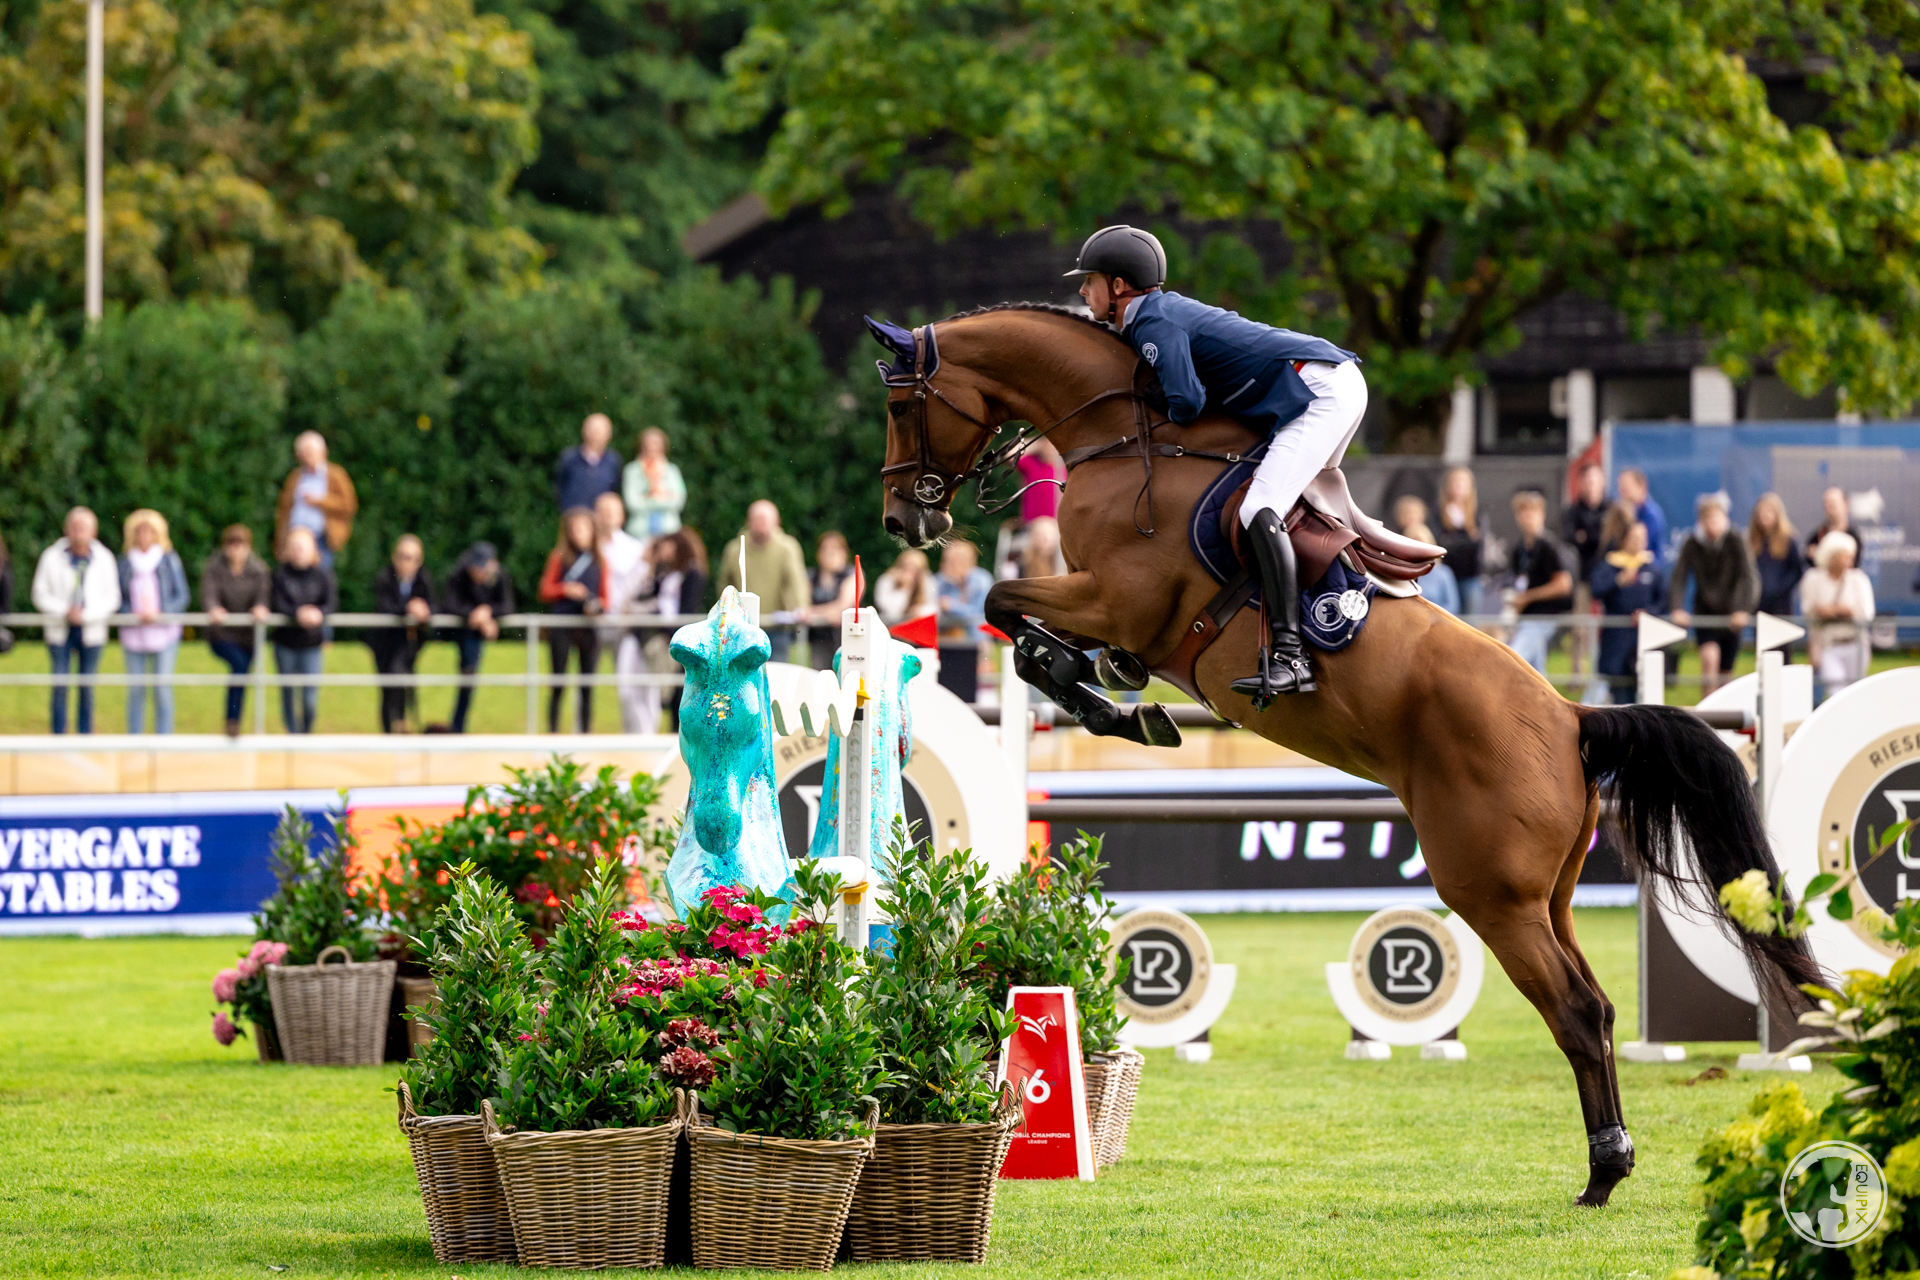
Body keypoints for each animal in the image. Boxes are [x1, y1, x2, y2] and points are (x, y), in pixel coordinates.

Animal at [867, 303, 1812, 1212]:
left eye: (902, 406)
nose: (903, 520)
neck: (1125, 434)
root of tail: (1572, 716)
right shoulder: (1106, 606)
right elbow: (1023, 621)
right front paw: (1116, 697)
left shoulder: (1116, 598)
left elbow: (1006, 604)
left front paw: (1102, 697)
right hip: (1548, 897)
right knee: (1601, 1009)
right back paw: (1610, 1162)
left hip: (1490, 894)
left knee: (1576, 1012)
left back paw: (1602, 1173)